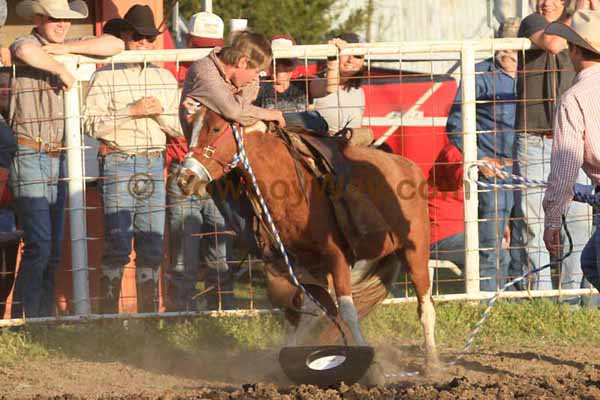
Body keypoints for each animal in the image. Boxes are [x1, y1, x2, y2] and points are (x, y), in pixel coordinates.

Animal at [177, 109, 436, 372]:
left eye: (215, 129)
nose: (185, 179)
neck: (289, 184)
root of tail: (409, 166)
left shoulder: (336, 256)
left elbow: (347, 310)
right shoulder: (298, 261)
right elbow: (303, 313)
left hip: (415, 249)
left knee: (425, 305)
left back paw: (431, 363)